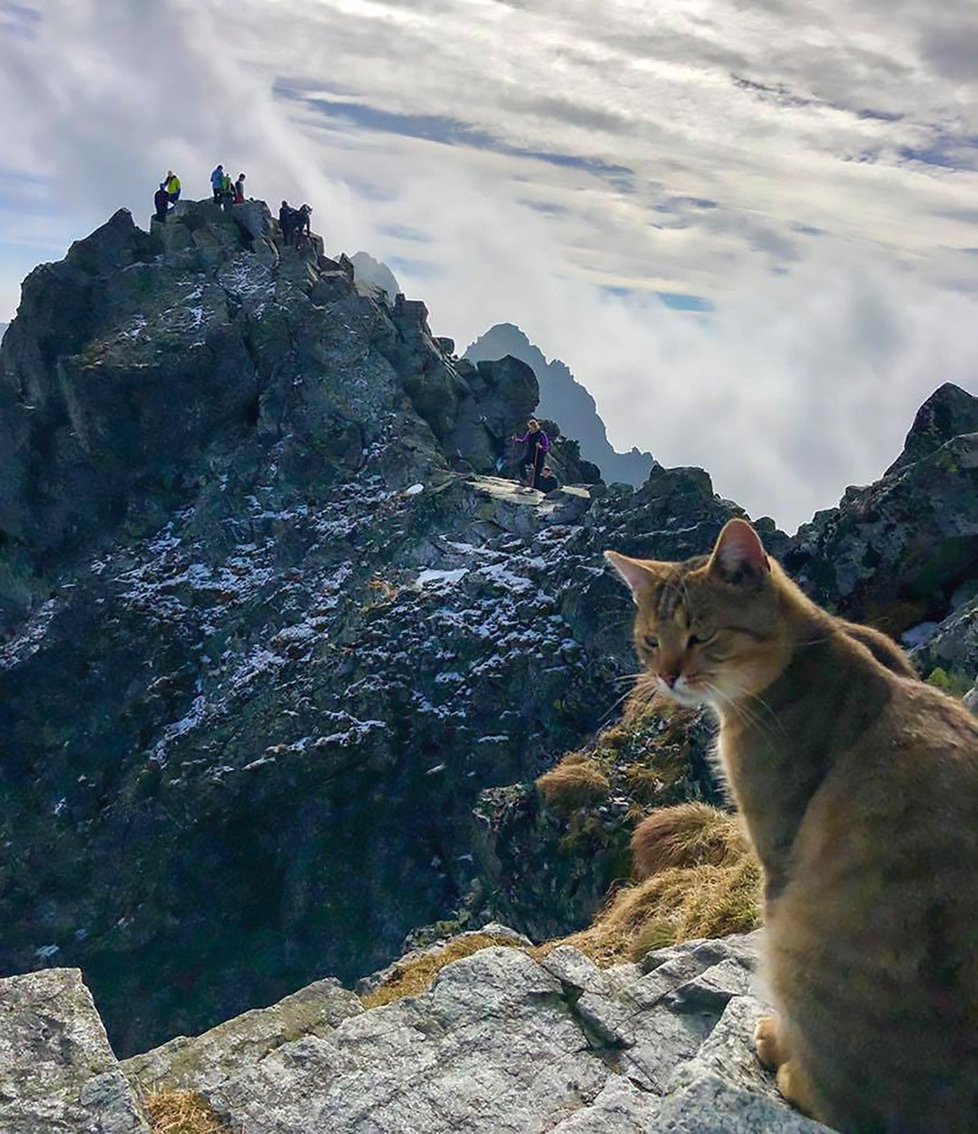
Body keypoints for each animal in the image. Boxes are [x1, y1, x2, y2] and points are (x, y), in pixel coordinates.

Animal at [608, 519, 978, 1129]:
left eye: (700, 635)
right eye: (650, 641)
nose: (667, 677)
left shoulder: (776, 849)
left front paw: (777, 1041)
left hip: (802, 939)